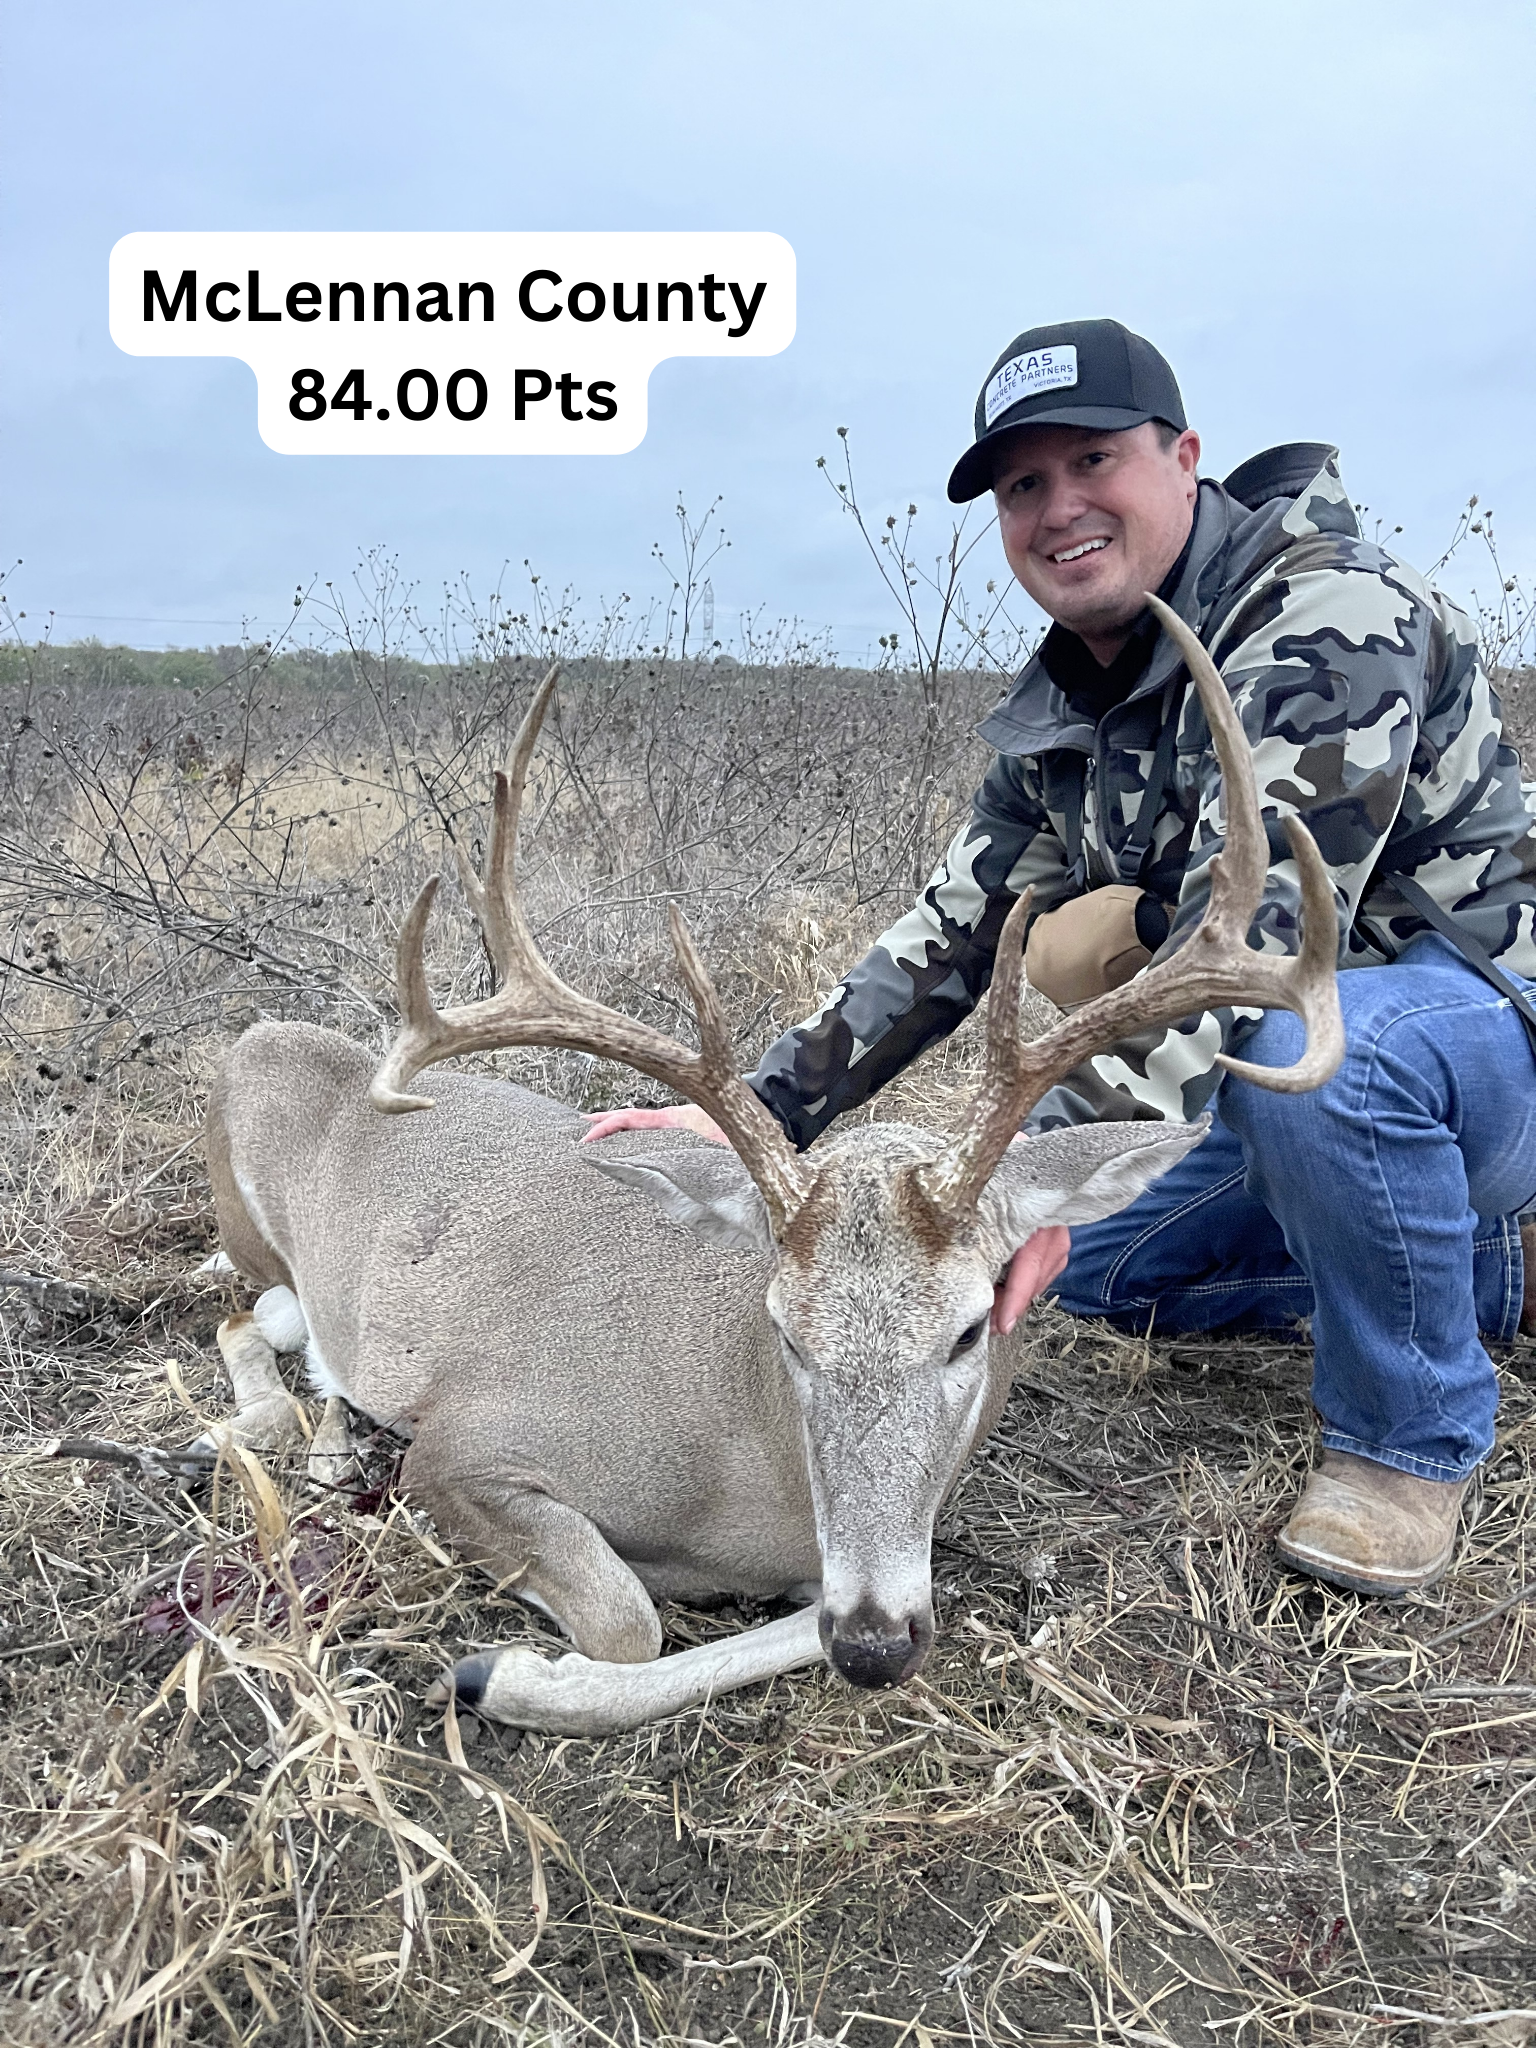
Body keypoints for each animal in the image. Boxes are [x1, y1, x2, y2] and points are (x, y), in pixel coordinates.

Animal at [200, 596, 1343, 1738]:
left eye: (971, 1328)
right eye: (786, 1330)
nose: (877, 1642)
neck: (743, 1475)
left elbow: (797, 1622)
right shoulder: (464, 1440)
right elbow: (629, 1619)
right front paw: (496, 1670)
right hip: (255, 1152)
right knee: (252, 1322)